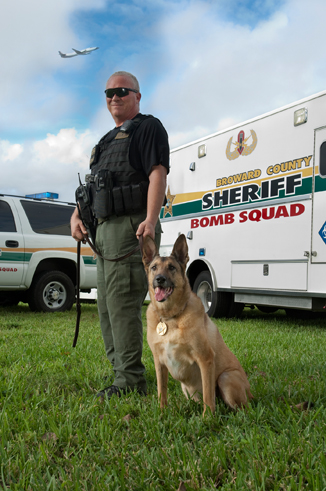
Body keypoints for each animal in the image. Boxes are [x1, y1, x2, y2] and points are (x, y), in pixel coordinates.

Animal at [142, 234, 252, 416]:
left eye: (171, 267)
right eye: (154, 267)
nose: (159, 279)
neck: (170, 317)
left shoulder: (205, 358)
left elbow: (208, 394)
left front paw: (208, 417)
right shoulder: (159, 362)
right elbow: (161, 391)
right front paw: (162, 412)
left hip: (226, 378)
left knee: (240, 409)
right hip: (186, 389)